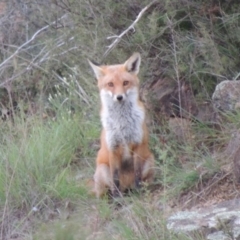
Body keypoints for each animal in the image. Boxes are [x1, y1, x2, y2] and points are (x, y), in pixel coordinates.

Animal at [89, 53, 155, 198]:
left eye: (125, 83)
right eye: (110, 84)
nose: (119, 97)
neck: (122, 123)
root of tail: (127, 187)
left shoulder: (137, 144)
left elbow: (137, 173)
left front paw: (139, 190)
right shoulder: (113, 147)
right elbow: (115, 177)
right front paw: (117, 197)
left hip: (150, 160)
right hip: (102, 170)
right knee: (104, 191)